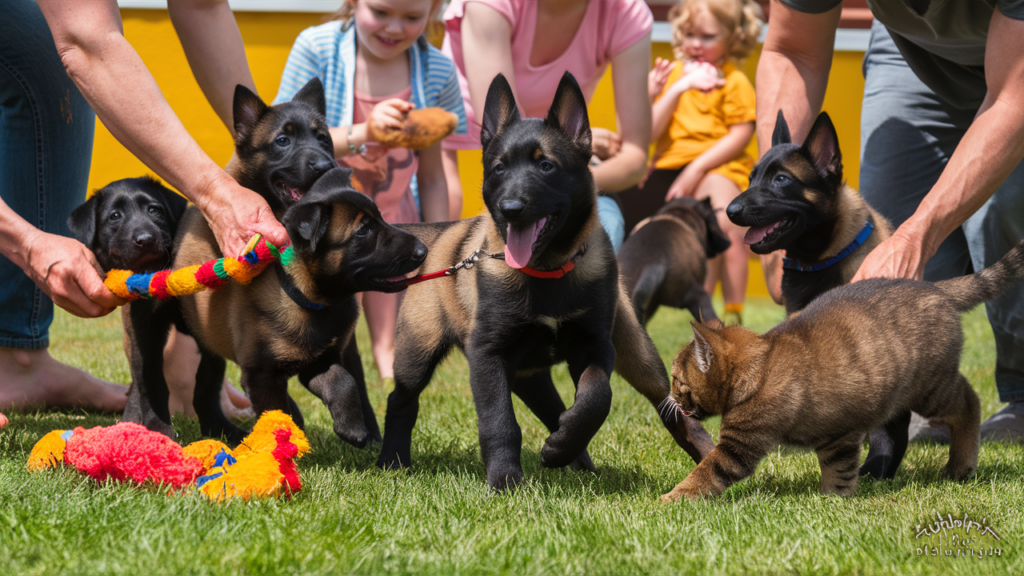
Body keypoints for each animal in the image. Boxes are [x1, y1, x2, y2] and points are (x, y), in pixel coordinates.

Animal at [374, 72, 712, 487]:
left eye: (546, 166)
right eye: (498, 168)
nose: (510, 209)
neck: (547, 269)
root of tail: (439, 232)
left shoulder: (595, 345)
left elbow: (596, 398)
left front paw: (560, 445)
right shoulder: (488, 356)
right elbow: (500, 421)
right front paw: (505, 480)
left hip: (630, 355)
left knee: (668, 406)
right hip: (420, 350)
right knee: (401, 400)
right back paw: (392, 461)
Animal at [659, 235, 1024, 500]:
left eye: (677, 380)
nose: (669, 396)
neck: (759, 364)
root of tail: (935, 287)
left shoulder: (742, 445)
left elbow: (707, 472)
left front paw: (670, 499)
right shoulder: (835, 437)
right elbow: (838, 467)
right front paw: (833, 498)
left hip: (931, 388)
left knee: (969, 402)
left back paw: (961, 465)